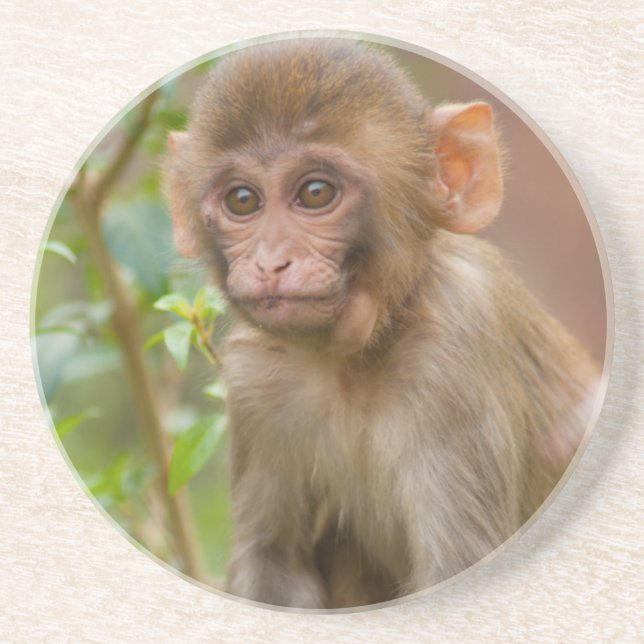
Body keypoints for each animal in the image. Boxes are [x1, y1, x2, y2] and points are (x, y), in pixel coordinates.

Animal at [166, 38, 599, 609]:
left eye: (316, 193)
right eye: (243, 200)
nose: (271, 262)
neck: (354, 359)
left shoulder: (455, 352)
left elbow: (457, 563)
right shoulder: (255, 380)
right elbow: (274, 563)